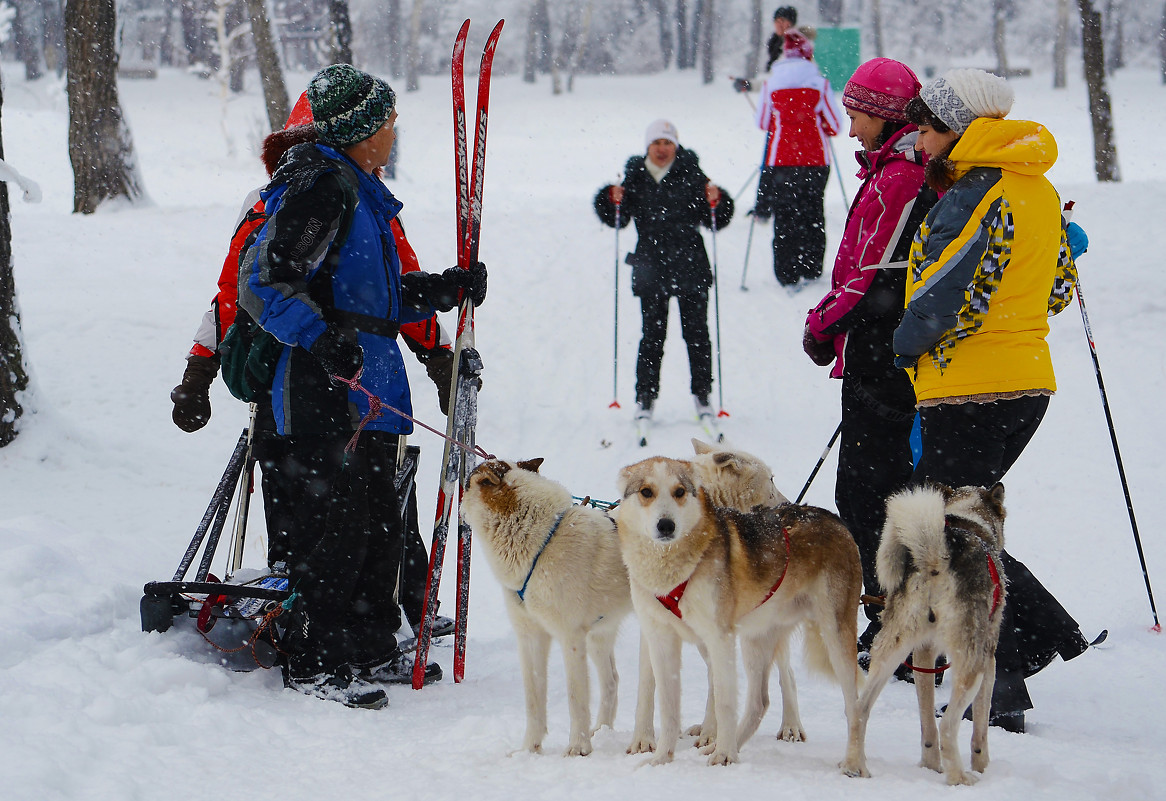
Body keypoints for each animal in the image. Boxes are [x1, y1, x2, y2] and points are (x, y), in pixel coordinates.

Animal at [459, 457, 652, 760]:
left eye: (466, 485)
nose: (458, 509)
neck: (541, 542)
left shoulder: (570, 637)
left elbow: (576, 696)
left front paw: (578, 748)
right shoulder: (530, 637)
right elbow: (533, 698)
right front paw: (529, 749)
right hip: (599, 637)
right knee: (611, 681)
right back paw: (602, 731)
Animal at [620, 454, 867, 769]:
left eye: (679, 492)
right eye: (646, 492)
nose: (666, 525)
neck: (672, 570)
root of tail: (833, 519)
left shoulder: (718, 638)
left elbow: (724, 700)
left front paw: (724, 754)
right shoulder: (659, 636)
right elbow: (666, 703)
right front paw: (661, 758)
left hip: (835, 635)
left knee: (852, 703)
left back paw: (853, 762)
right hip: (756, 638)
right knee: (760, 701)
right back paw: (725, 745)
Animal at [844, 482, 1007, 783]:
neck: (968, 520)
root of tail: (936, 559)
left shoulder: (924, 655)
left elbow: (927, 727)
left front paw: (930, 765)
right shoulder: (989, 660)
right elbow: (979, 730)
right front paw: (982, 767)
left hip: (891, 650)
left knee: (859, 710)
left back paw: (853, 766)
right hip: (972, 664)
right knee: (948, 726)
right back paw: (960, 778)